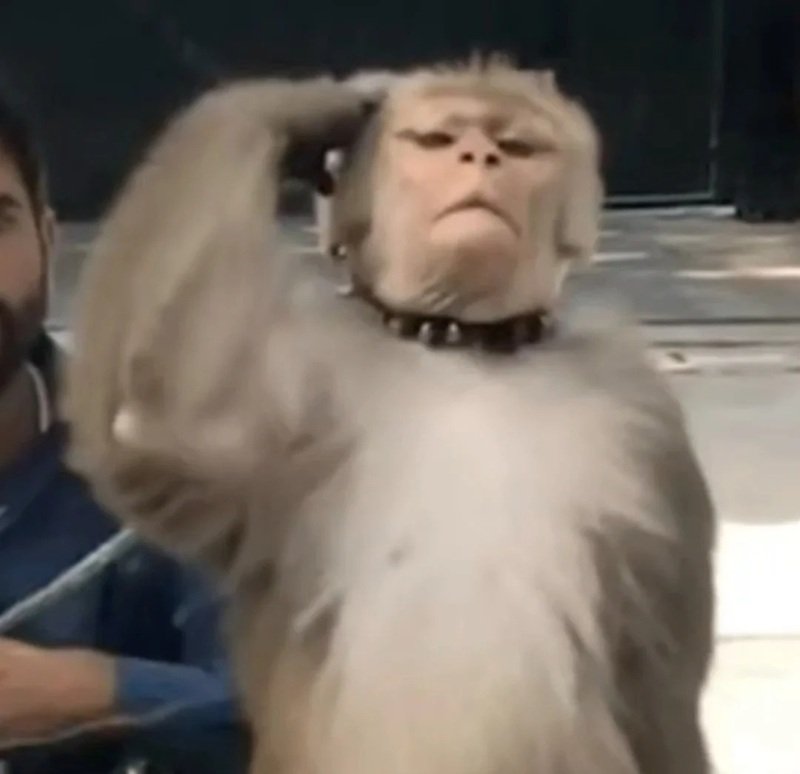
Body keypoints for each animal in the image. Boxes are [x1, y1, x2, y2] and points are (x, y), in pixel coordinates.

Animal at [63, 57, 715, 774]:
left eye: (517, 147)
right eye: (435, 140)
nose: (480, 156)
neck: (463, 342)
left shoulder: (640, 412)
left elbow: (652, 672)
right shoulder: (298, 370)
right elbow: (148, 424)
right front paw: (316, 106)